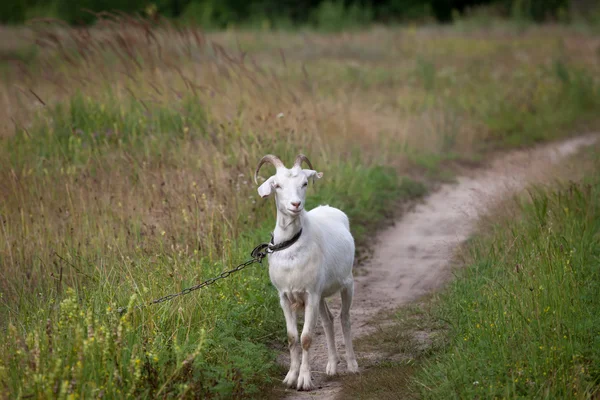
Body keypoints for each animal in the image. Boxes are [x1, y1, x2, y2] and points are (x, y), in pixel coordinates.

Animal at [255, 154, 358, 390]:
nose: (296, 204)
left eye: (304, 183)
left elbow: (306, 338)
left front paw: (304, 380)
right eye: (277, 185)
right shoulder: (285, 296)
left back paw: (352, 364)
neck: (293, 245)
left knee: (344, 318)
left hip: (347, 283)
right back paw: (332, 366)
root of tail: (330, 208)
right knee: (329, 320)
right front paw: (290, 377)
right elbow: (292, 337)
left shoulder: (311, 294)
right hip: (321, 294)